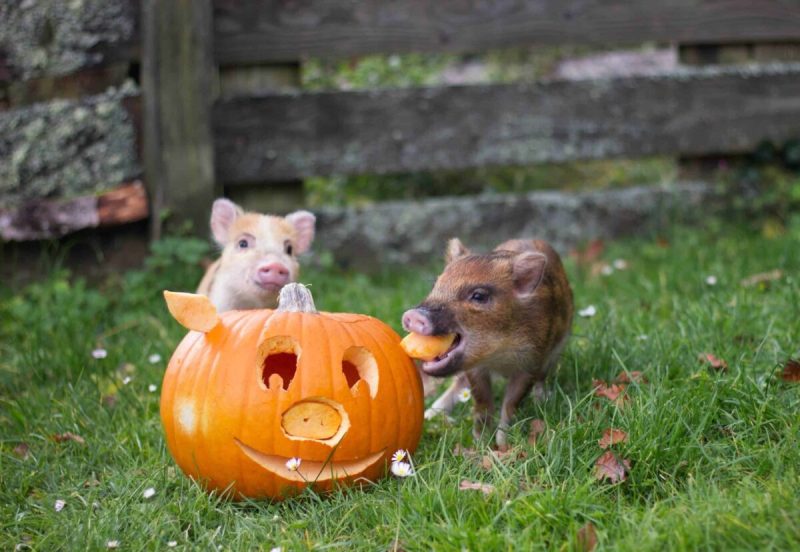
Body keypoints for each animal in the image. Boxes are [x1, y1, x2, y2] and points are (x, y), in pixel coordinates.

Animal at [402, 238, 573, 448]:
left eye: (479, 296)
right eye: (435, 285)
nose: (413, 315)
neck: (499, 355)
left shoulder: (531, 363)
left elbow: (510, 404)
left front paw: (502, 445)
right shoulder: (476, 368)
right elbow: (482, 402)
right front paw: (480, 442)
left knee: (542, 377)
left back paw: (543, 400)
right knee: (458, 384)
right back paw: (429, 415)